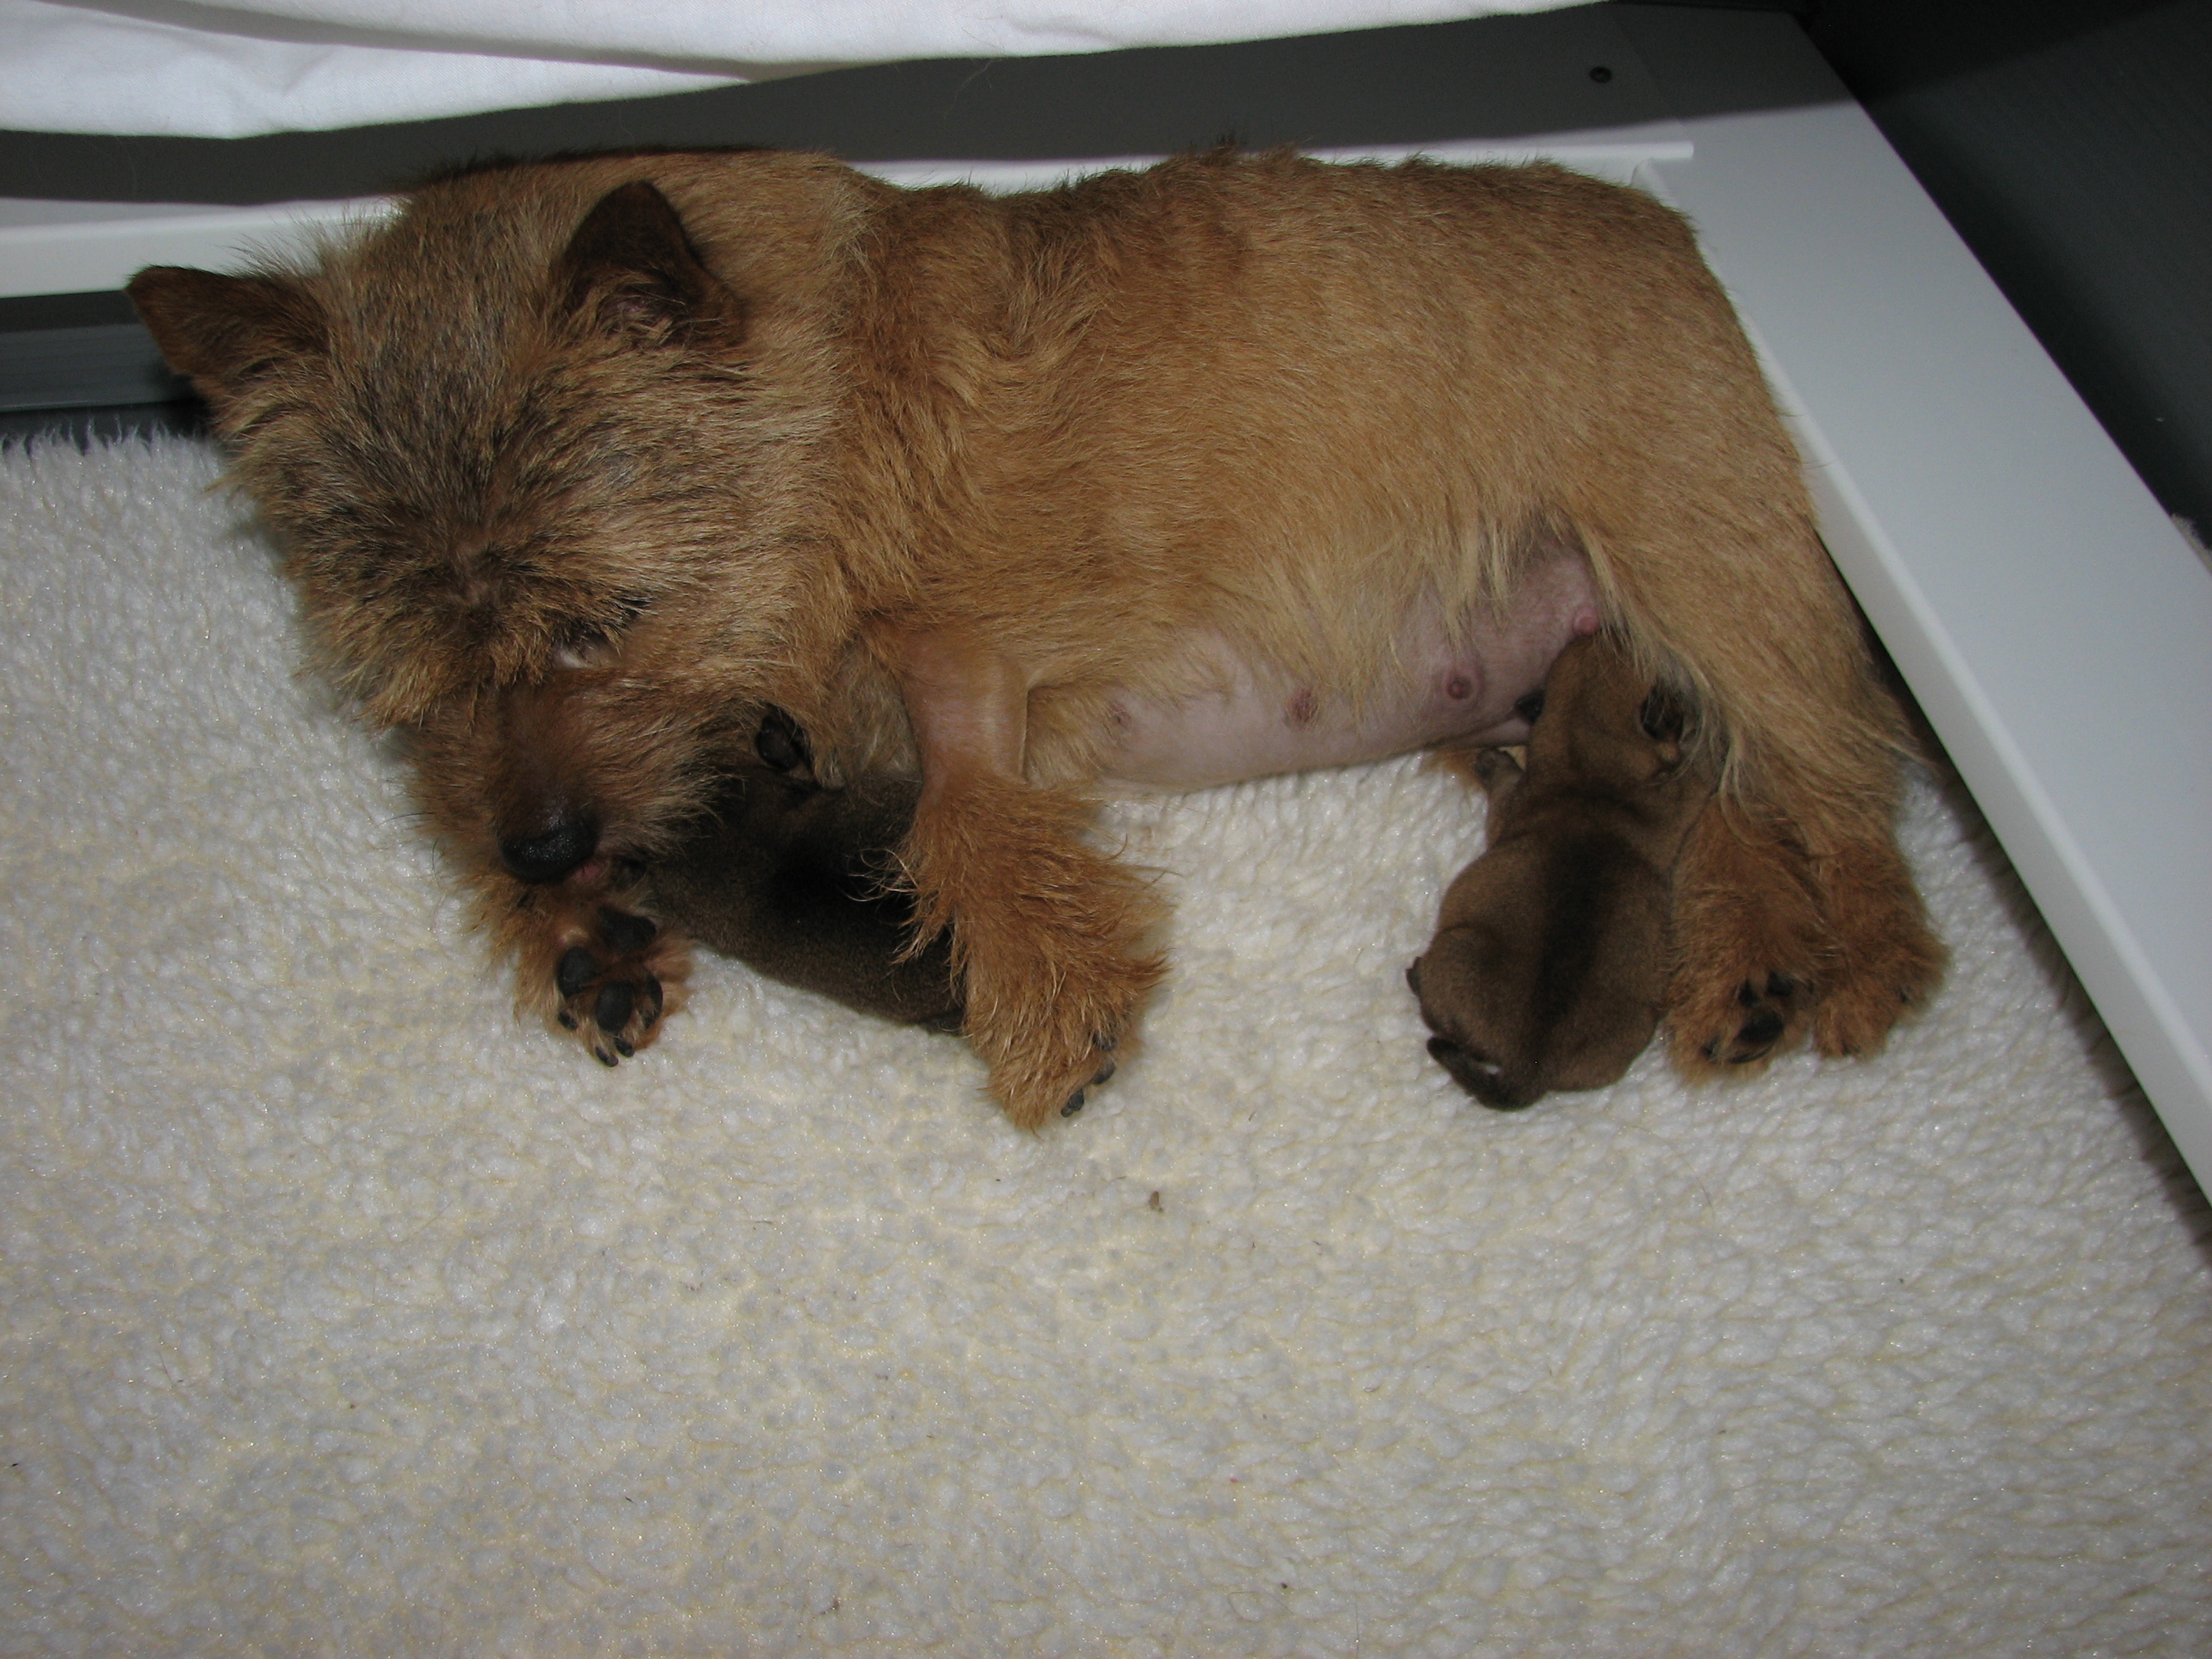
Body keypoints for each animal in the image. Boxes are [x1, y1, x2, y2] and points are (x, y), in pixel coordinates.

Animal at [1409, 632, 1716, 1109]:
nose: (1599, 626)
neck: (1596, 777)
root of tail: (1529, 1064)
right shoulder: (1684, 791)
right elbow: (1699, 766)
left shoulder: (1512, 804)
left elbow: (1505, 783)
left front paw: (1493, 762)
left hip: (1455, 950)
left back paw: (1416, 972)